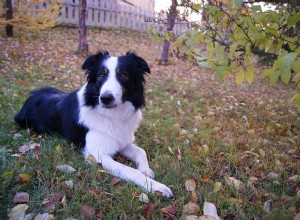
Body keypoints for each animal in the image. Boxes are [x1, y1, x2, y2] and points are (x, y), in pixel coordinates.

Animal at [14, 51, 173, 198]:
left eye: (123, 75)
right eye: (101, 76)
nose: (106, 98)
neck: (113, 116)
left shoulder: (122, 141)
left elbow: (141, 151)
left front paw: (146, 170)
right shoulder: (96, 155)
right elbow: (130, 170)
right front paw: (156, 187)